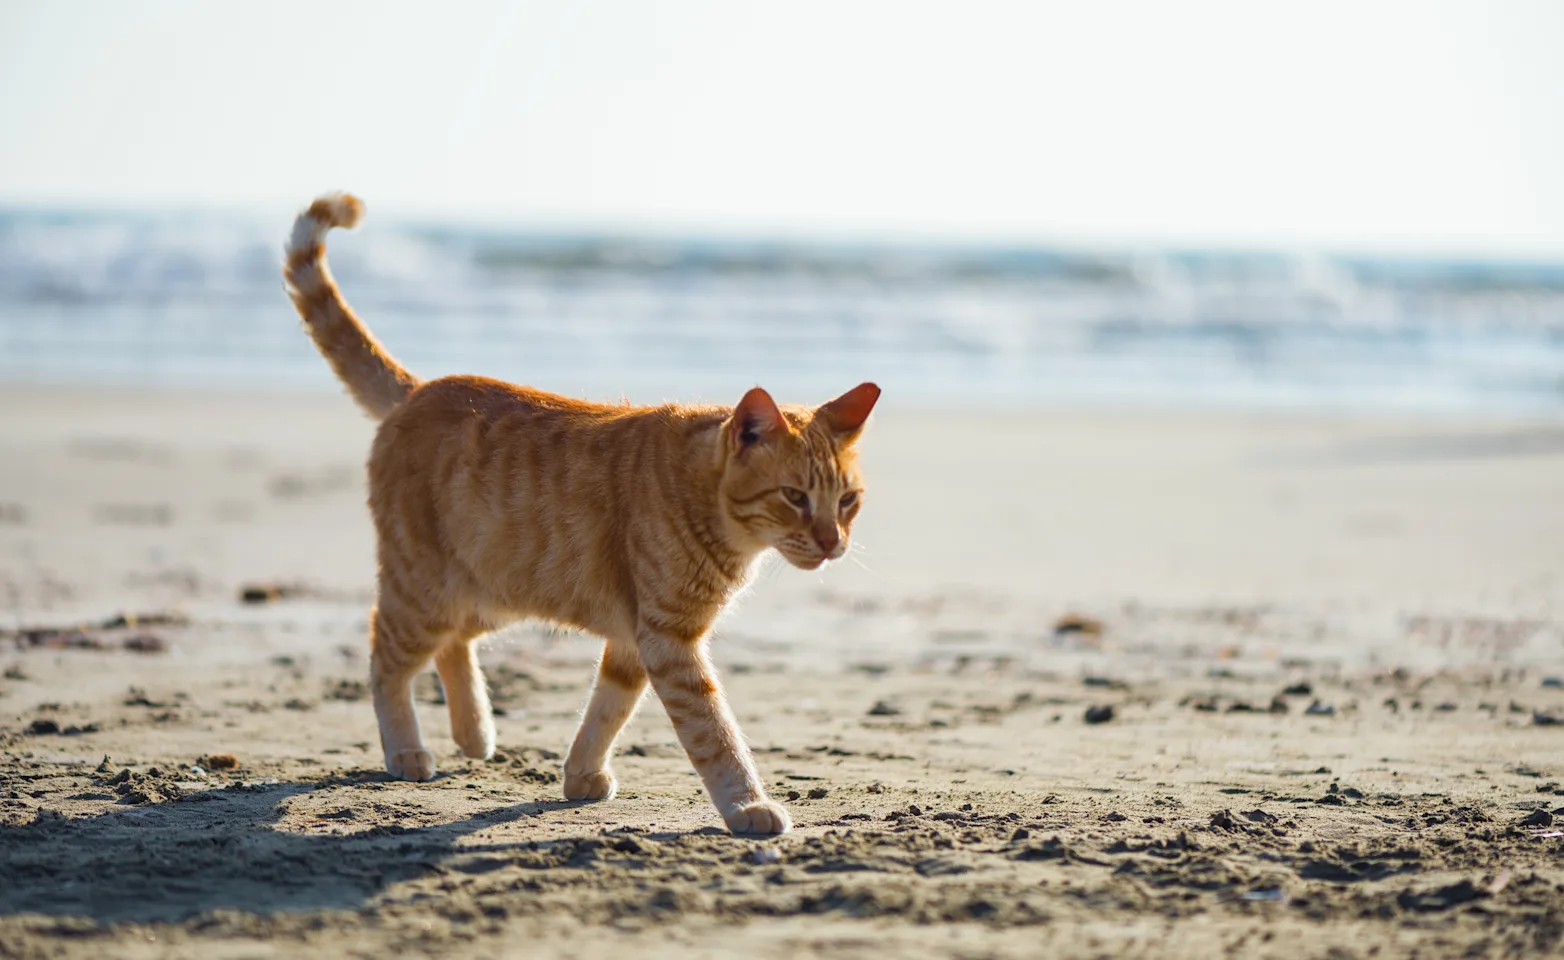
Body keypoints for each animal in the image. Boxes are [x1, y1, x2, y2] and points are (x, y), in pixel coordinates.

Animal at [284, 193, 882, 838]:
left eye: (847, 500)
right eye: (794, 497)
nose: (832, 541)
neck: (706, 505)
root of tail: (419, 390)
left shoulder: (635, 641)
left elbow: (607, 710)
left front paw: (580, 775)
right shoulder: (669, 640)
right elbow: (714, 734)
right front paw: (748, 805)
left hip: (490, 590)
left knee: (452, 646)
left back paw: (474, 733)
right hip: (428, 591)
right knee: (384, 656)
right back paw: (406, 750)